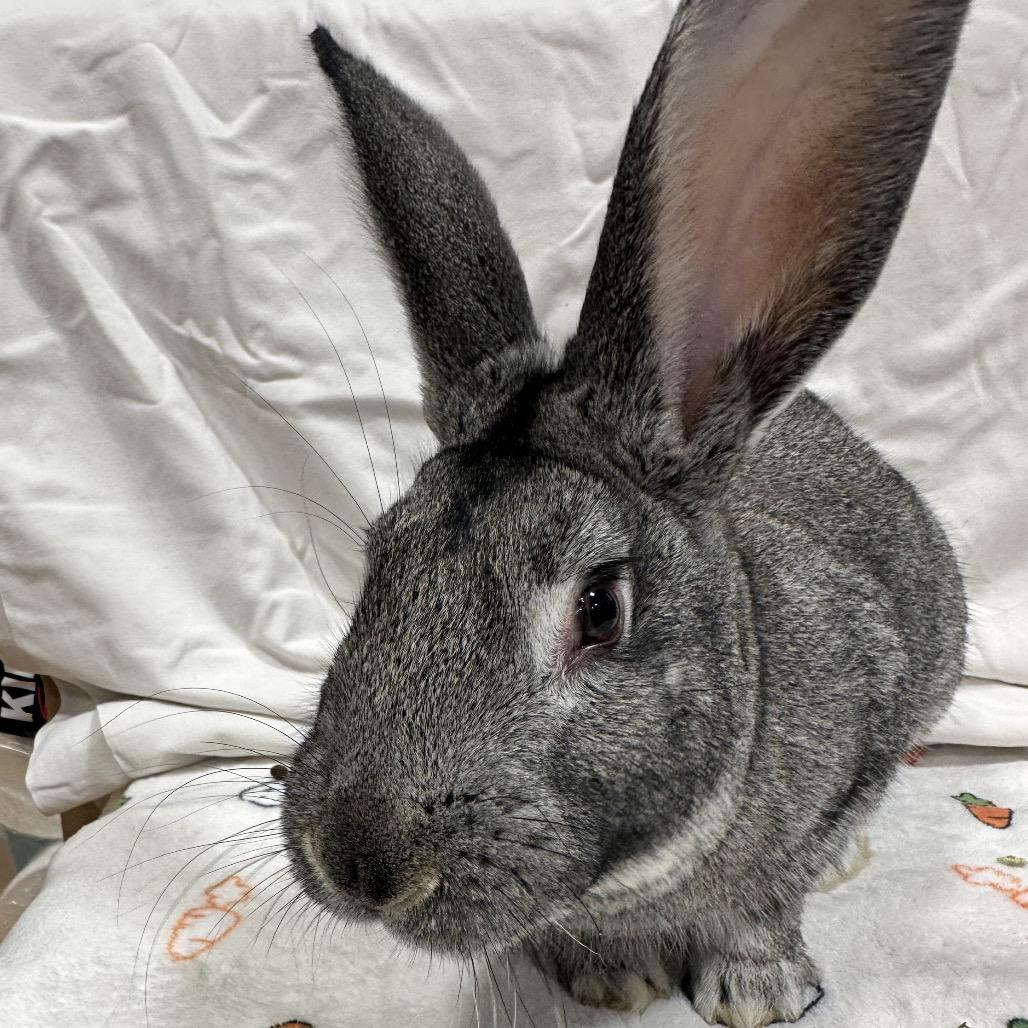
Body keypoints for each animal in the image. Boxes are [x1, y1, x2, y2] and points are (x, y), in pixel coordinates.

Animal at [281, 2, 971, 1026]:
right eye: (380, 563)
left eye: (600, 608)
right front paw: (613, 981)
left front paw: (756, 993)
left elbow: (770, 898)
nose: (360, 863)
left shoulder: (865, 729)